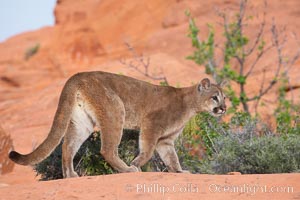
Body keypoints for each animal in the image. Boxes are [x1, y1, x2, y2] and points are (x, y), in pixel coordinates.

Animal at [8, 71, 226, 177]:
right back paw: (127, 170)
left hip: (83, 121)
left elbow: (172, 158)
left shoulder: (166, 140)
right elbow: (147, 150)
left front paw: (180, 171)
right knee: (107, 149)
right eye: (215, 97)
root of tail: (77, 75)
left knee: (67, 146)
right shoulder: (152, 123)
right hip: (115, 110)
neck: (190, 104)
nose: (224, 108)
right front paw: (136, 163)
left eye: (225, 98)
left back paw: (70, 175)